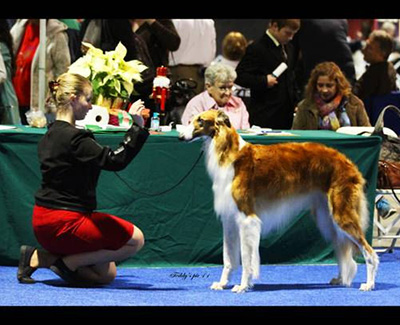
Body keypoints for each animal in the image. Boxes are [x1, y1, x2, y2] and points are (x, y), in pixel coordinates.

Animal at [180, 110, 380, 292]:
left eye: (200, 120)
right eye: (192, 118)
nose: (181, 137)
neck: (230, 155)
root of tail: (348, 162)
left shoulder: (247, 219)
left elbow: (247, 258)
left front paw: (243, 286)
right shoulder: (229, 220)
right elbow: (228, 258)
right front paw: (222, 283)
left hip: (341, 214)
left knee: (369, 252)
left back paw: (369, 284)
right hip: (327, 217)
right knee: (342, 249)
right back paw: (340, 279)